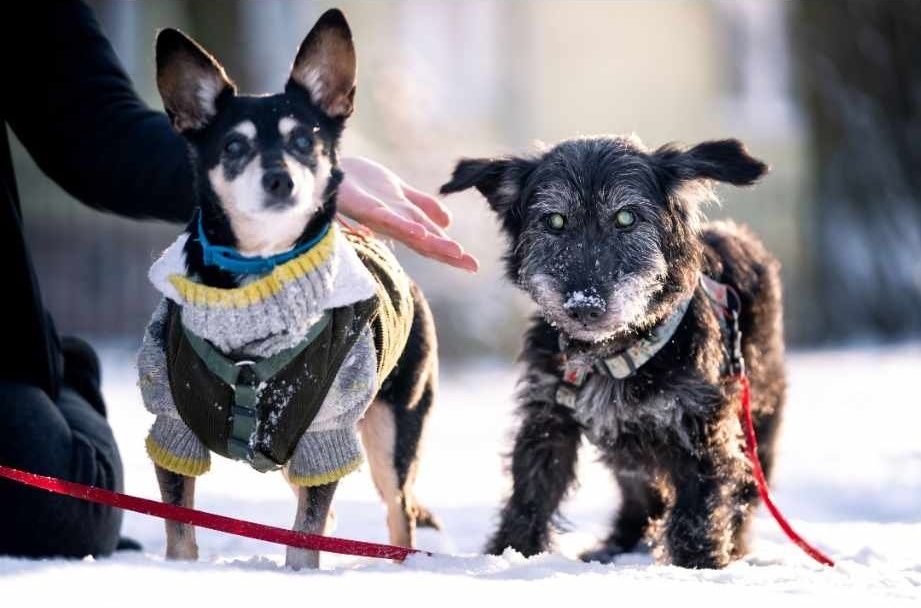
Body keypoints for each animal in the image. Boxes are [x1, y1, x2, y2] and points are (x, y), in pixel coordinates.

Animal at [137, 10, 438, 568]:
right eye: (234, 146)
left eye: (304, 143)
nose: (280, 179)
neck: (260, 277)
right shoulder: (171, 426)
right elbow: (179, 527)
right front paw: (181, 572)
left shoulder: (327, 434)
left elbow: (305, 534)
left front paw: (300, 576)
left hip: (392, 429)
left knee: (398, 511)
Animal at [444, 135, 784, 568]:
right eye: (555, 221)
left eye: (625, 218)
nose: (584, 306)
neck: (611, 354)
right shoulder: (548, 416)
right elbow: (531, 493)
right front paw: (513, 552)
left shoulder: (702, 427)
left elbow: (699, 507)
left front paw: (697, 566)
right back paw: (617, 545)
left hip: (757, 423)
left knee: (742, 495)